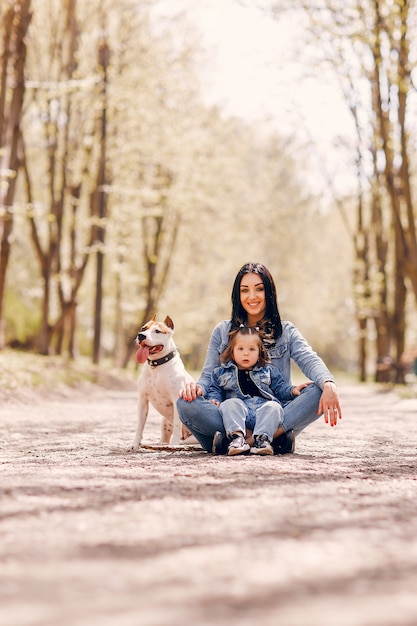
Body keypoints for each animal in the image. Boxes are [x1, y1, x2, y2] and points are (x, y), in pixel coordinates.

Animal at [128, 314, 195, 446]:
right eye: (143, 328)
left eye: (157, 331)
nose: (141, 335)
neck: (157, 365)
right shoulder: (142, 400)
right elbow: (140, 426)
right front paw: (135, 444)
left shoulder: (176, 399)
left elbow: (177, 425)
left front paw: (174, 445)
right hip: (164, 422)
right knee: (165, 437)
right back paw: (161, 444)